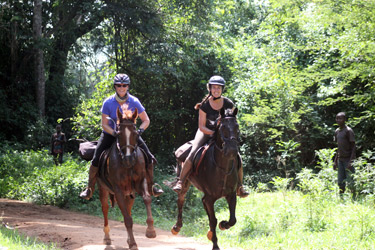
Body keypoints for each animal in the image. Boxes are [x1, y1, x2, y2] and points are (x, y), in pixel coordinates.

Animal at [97, 107, 157, 250]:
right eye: (118, 135)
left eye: (136, 134)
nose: (128, 159)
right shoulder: (118, 189)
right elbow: (127, 219)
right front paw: (134, 243)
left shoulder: (141, 182)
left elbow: (147, 198)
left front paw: (150, 231)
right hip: (103, 188)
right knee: (105, 208)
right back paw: (107, 238)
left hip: (129, 193)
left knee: (128, 209)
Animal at [171, 107, 239, 250]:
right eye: (222, 127)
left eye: (237, 126)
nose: (231, 150)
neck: (222, 167)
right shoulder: (210, 198)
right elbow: (213, 220)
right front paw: (215, 245)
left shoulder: (231, 195)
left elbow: (232, 219)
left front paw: (223, 225)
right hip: (185, 182)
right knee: (180, 200)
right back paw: (176, 227)